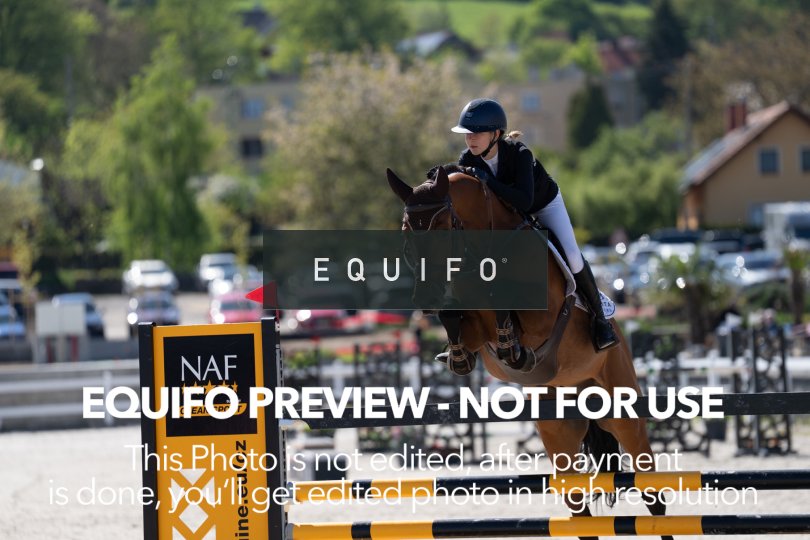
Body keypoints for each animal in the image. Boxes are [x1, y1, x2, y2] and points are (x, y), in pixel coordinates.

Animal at [387, 166, 672, 540]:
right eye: (406, 230)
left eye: (442, 227)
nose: (427, 298)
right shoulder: (473, 331)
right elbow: (458, 323)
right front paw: (459, 351)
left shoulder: (544, 318)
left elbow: (506, 303)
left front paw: (513, 344)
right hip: (558, 435)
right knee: (579, 507)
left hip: (624, 414)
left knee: (652, 493)